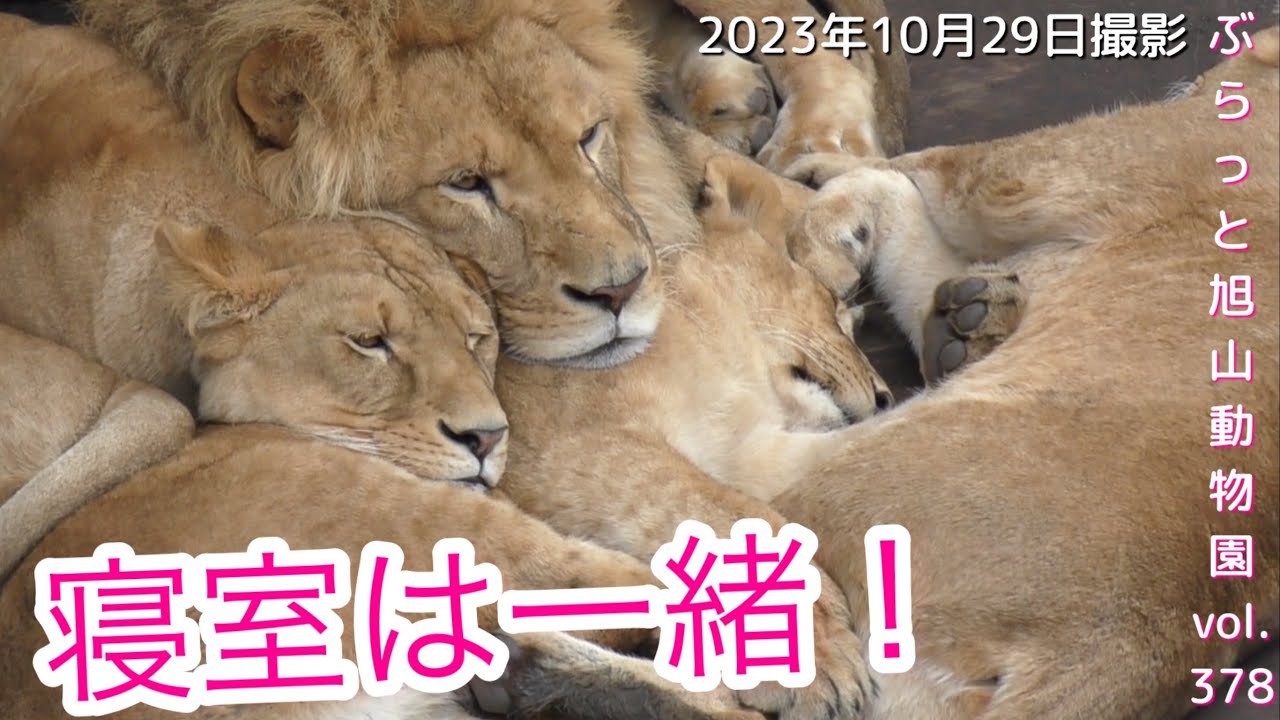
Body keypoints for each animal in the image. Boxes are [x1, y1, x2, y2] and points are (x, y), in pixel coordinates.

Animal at [752, 27, 1278, 719]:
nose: (1194, 80)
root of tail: (1107, 658)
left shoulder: (1012, 177)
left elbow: (914, 167)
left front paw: (816, 202)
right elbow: (907, 228)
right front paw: (958, 317)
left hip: (844, 477)